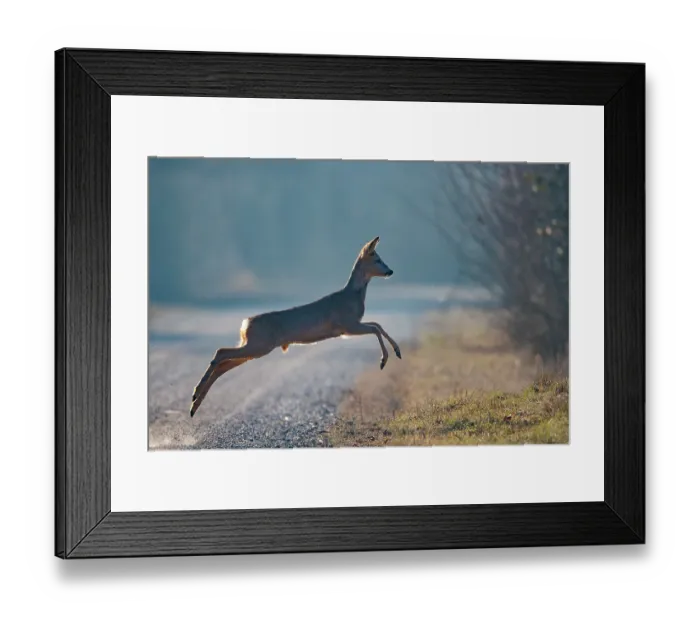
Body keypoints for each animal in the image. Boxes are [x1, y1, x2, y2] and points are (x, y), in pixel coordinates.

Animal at [189, 236, 401, 417]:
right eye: (378, 259)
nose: (390, 271)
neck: (354, 295)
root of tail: (245, 324)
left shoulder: (350, 325)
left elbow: (377, 324)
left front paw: (397, 352)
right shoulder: (346, 324)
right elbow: (375, 328)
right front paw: (384, 359)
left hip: (255, 347)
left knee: (222, 364)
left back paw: (194, 405)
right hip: (260, 344)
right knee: (221, 352)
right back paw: (195, 395)